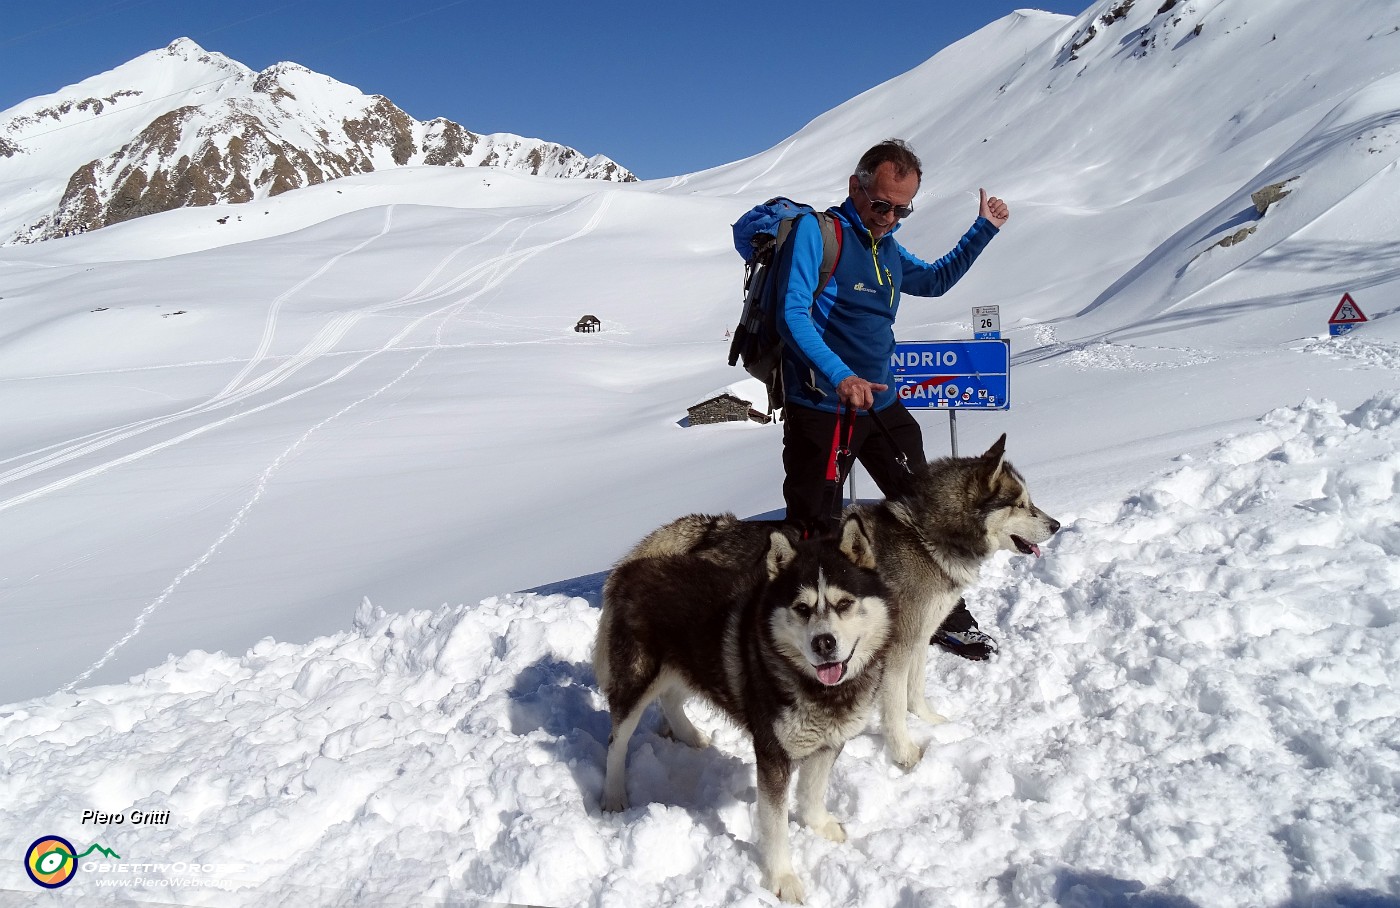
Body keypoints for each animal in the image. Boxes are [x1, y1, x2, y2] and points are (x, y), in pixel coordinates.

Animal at [596, 517, 890, 901]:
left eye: (844, 603)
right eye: (802, 608)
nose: (823, 643)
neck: (820, 690)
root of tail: (629, 569)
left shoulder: (830, 742)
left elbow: (812, 791)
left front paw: (818, 825)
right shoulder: (772, 756)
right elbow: (776, 826)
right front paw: (782, 879)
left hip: (689, 665)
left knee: (671, 700)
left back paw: (692, 737)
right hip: (636, 682)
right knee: (617, 741)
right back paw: (614, 795)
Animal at [840, 430, 1058, 766]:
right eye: (1020, 505)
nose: (1057, 525)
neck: (925, 539)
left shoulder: (921, 635)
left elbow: (915, 689)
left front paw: (931, 722)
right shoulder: (898, 645)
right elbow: (894, 705)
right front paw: (904, 754)